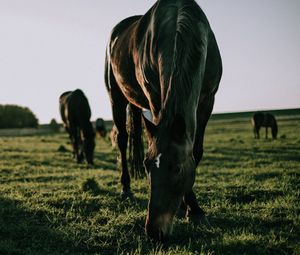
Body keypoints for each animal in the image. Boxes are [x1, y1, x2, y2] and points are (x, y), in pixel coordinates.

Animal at [104, 0, 221, 241]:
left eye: (177, 169)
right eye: (148, 166)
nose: (154, 232)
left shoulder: (207, 101)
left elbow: (196, 151)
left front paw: (192, 209)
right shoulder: (155, 97)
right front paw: (191, 208)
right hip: (116, 98)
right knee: (122, 140)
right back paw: (126, 189)